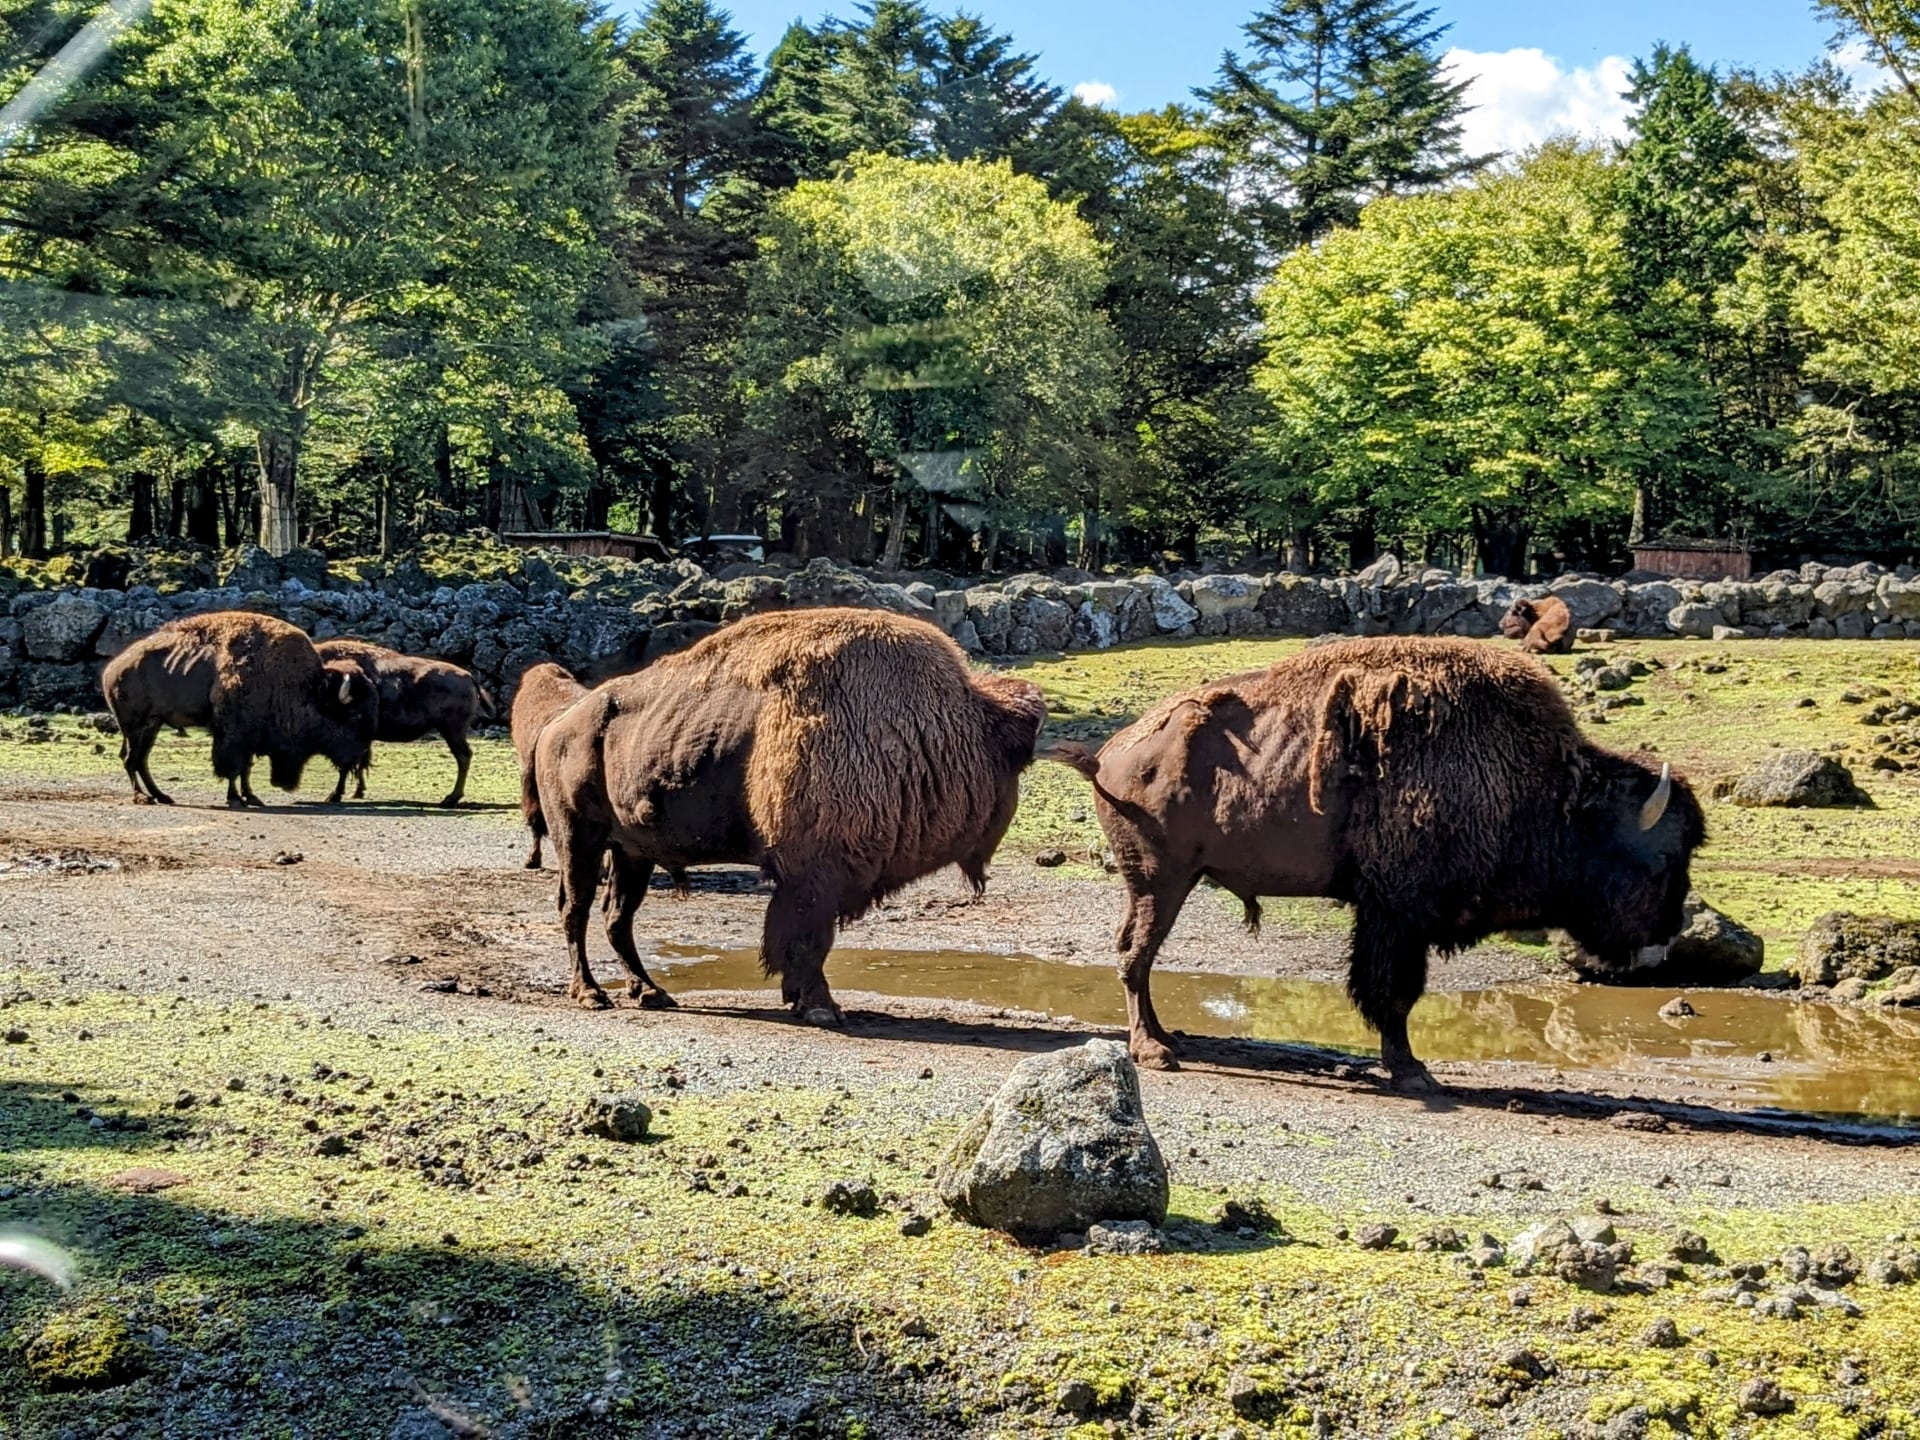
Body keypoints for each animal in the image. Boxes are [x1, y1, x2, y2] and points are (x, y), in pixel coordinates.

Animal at [101, 610, 378, 814]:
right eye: (352, 715)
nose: (358, 757)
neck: (306, 689)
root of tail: (113, 667)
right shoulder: (233, 737)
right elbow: (233, 769)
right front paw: (236, 799)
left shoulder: (250, 738)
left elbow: (246, 769)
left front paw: (252, 797)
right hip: (134, 726)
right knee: (131, 759)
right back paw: (142, 797)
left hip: (153, 724)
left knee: (141, 760)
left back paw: (162, 796)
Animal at [314, 641, 495, 814]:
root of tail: (469, 676)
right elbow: (359, 762)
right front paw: (358, 791)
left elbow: (347, 765)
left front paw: (335, 795)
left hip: (452, 731)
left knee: (463, 756)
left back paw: (450, 799)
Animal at [533, 610, 1052, 1013]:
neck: (941, 723)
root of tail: (557, 725)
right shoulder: (813, 875)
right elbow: (806, 941)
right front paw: (820, 1006)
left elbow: (804, 942)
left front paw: (804, 998)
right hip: (578, 838)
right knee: (576, 910)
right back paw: (591, 994)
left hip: (632, 852)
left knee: (617, 917)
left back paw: (651, 992)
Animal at [1052, 637, 1712, 1090]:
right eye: (1661, 859)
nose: (1664, 940)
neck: (1551, 792)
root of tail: (1112, 752)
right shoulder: (1397, 914)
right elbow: (1394, 994)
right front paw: (1414, 1072)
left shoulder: (1392, 916)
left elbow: (1390, 992)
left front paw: (1409, 1067)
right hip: (1160, 881)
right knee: (1135, 955)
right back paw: (1153, 1051)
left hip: (1164, 882)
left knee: (1133, 954)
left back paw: (1163, 1040)